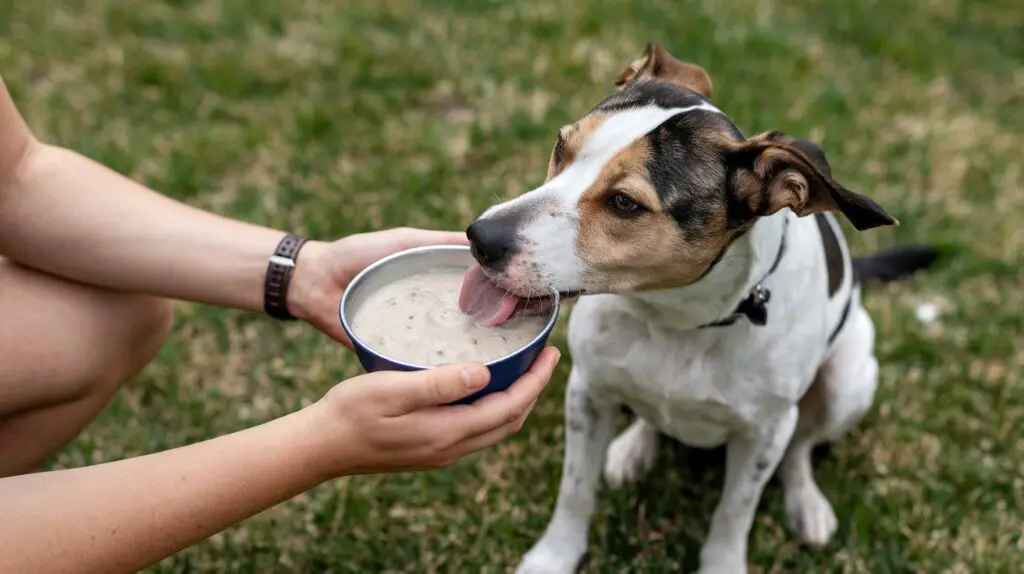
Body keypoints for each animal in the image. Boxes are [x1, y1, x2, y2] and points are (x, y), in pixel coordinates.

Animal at [460, 42, 937, 568]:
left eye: (624, 203)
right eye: (561, 148)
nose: (481, 238)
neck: (679, 318)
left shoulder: (763, 434)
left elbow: (733, 513)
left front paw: (722, 564)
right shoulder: (588, 392)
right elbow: (575, 490)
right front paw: (554, 557)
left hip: (847, 385)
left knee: (801, 448)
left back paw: (807, 503)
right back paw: (634, 448)